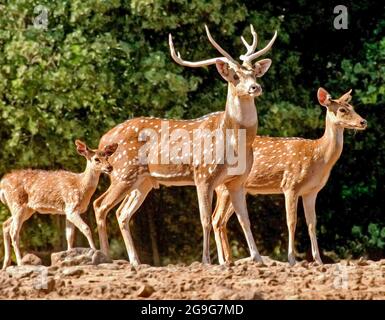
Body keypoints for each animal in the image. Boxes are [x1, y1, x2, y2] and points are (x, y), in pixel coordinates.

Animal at [0, 139, 117, 268]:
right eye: (96, 159)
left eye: (107, 156)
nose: (110, 167)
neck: (81, 186)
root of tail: (2, 183)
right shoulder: (71, 208)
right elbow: (86, 228)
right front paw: (94, 252)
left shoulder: (67, 212)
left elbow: (69, 236)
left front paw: (69, 257)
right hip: (17, 203)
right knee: (13, 231)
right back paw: (20, 263)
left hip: (27, 209)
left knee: (5, 225)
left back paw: (6, 264)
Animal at [94, 24, 276, 264]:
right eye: (235, 76)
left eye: (253, 72)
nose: (255, 87)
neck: (236, 144)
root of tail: (103, 139)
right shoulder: (203, 174)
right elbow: (205, 219)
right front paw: (206, 261)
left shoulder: (238, 180)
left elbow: (245, 220)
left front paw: (257, 258)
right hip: (123, 172)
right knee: (100, 206)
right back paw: (105, 257)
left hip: (143, 181)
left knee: (121, 213)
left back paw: (135, 261)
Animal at [212, 87, 368, 264]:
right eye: (342, 109)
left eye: (352, 107)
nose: (363, 122)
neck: (318, 157)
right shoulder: (290, 185)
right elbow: (291, 222)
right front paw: (292, 260)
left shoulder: (311, 192)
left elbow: (312, 224)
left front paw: (319, 261)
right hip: (223, 188)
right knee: (216, 219)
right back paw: (222, 261)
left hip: (239, 189)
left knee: (222, 221)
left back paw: (230, 260)